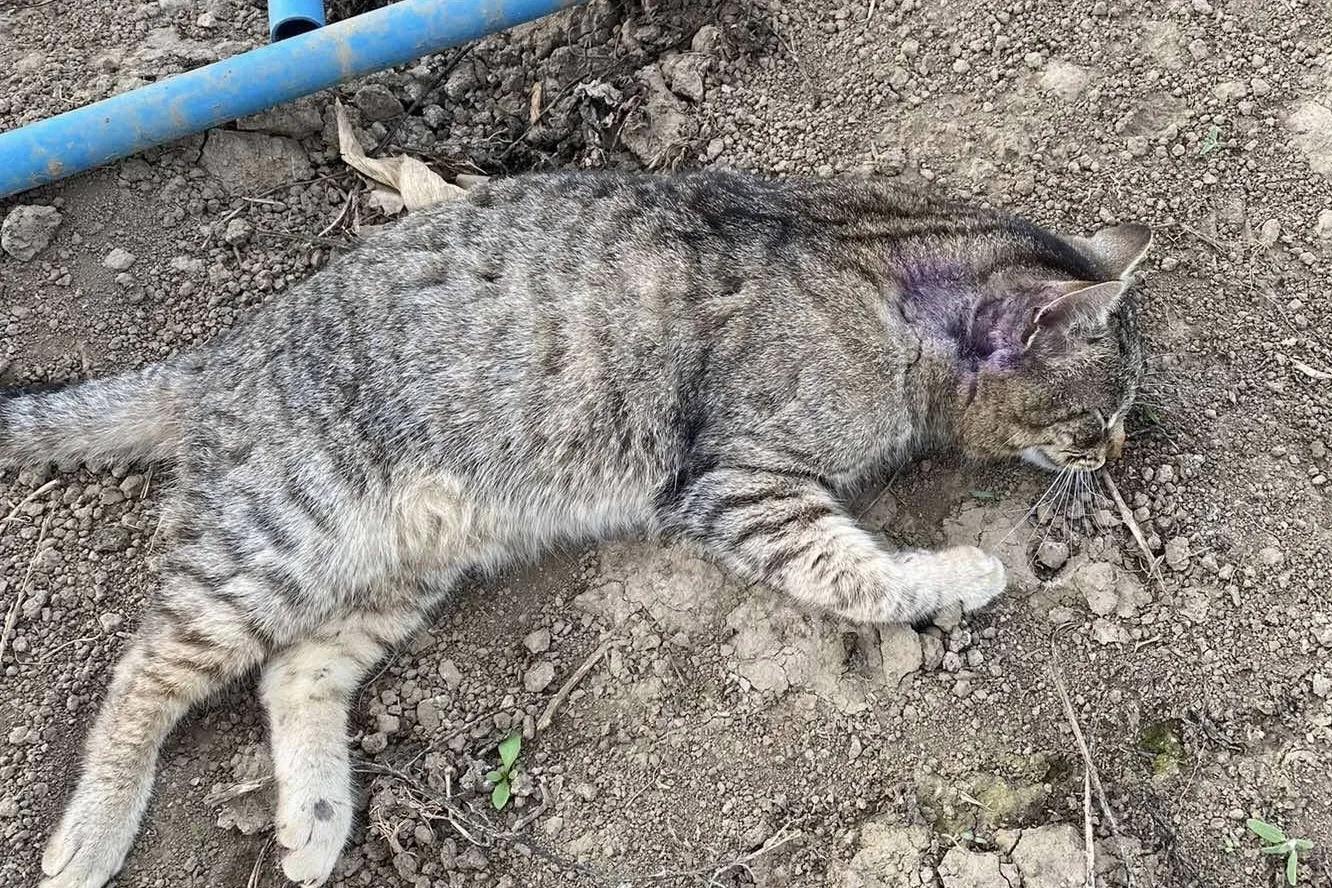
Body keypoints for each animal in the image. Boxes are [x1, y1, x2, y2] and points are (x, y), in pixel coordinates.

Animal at [0, 170, 1149, 888]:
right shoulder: (744, 484)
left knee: (297, 671)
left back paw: (318, 818)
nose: (1119, 453)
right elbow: (851, 571)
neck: (893, 281)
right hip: (279, 541)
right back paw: (95, 831)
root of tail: (218, 356)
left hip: (398, 568)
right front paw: (956, 576)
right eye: (1093, 421)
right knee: (147, 670)